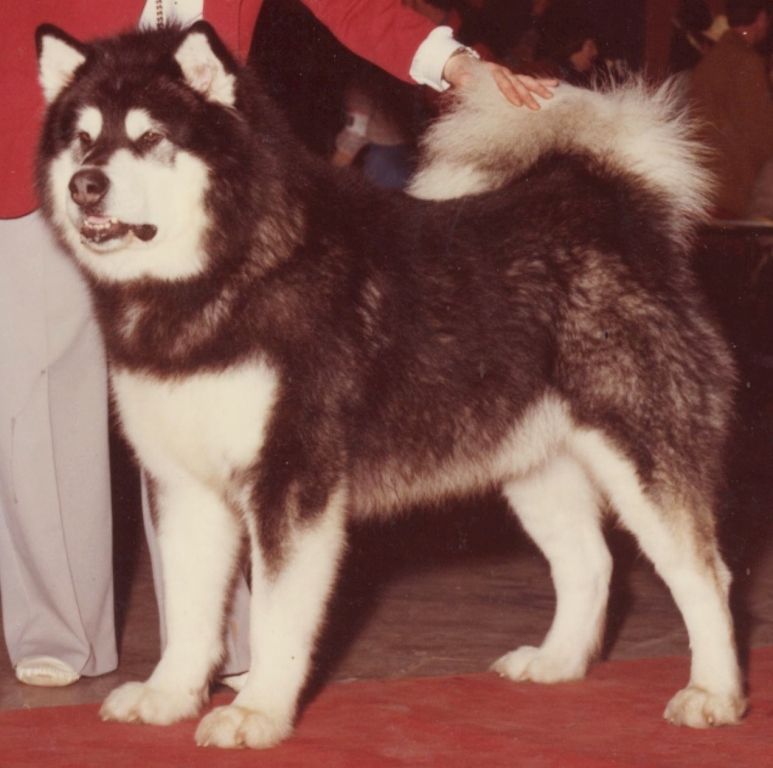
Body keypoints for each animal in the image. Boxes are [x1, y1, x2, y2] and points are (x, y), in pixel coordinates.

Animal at [34, 21, 740, 748]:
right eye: (83, 139)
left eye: (150, 137)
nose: (85, 186)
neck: (219, 275)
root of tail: (610, 201)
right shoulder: (183, 485)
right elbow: (188, 608)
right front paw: (169, 695)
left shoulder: (292, 484)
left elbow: (277, 619)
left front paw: (257, 711)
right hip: (532, 467)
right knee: (589, 563)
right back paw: (557, 662)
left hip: (642, 459)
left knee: (704, 575)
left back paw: (712, 694)